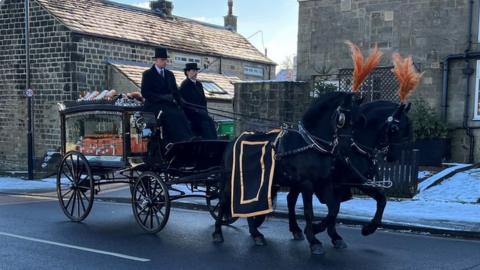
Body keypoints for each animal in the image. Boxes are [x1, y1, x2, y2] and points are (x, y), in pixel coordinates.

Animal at [212, 92, 362, 254]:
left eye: (358, 121)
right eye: (341, 120)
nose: (345, 149)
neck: (310, 144)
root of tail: (233, 141)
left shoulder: (324, 182)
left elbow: (334, 208)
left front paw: (319, 231)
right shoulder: (307, 183)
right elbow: (309, 211)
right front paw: (313, 239)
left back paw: (256, 234)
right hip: (231, 179)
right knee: (223, 200)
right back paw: (218, 232)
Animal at [284, 99, 412, 249]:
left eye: (408, 129)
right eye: (395, 129)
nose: (393, 157)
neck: (355, 147)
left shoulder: (357, 183)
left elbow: (381, 200)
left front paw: (367, 229)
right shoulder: (347, 183)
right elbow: (334, 209)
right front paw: (317, 229)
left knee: (291, 199)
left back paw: (296, 229)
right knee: (291, 199)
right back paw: (296, 229)